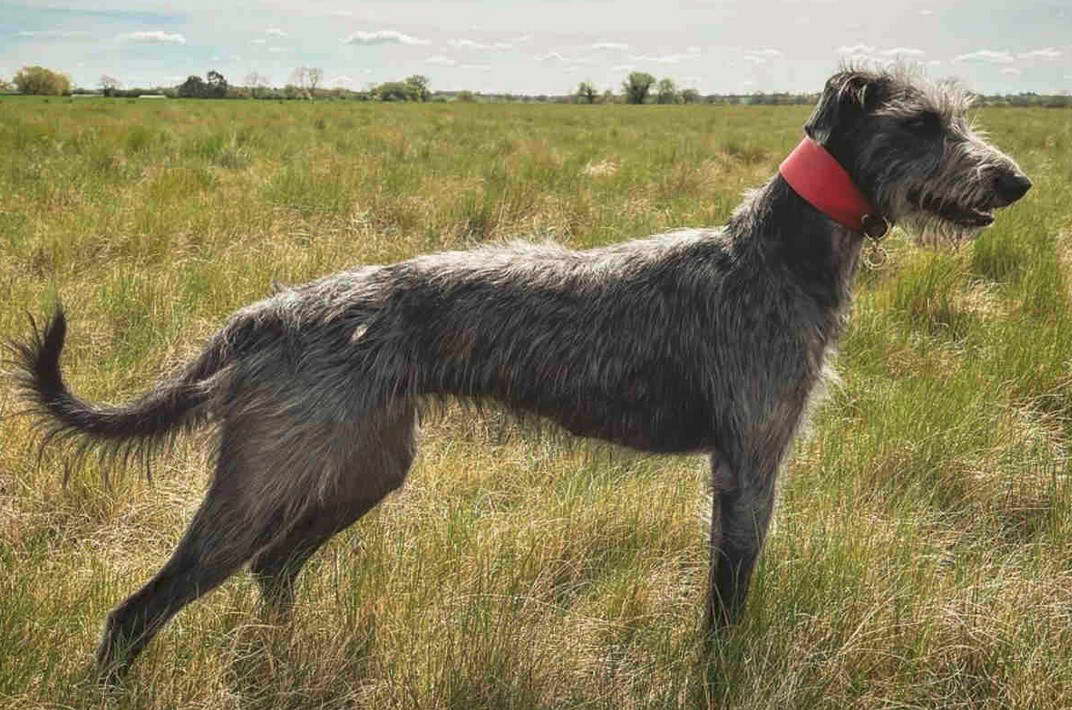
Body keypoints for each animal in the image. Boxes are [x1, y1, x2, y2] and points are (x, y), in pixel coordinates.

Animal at [8, 68, 1029, 686]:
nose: (1015, 182)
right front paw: (720, 678)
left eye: (962, 116)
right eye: (923, 122)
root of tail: (270, 311)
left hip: (364, 466)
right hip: (266, 479)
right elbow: (727, 599)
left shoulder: (749, 462)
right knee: (139, 611)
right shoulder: (747, 463)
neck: (775, 253)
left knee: (273, 568)